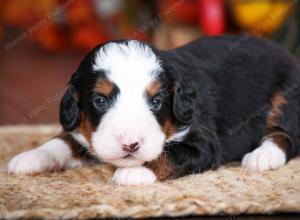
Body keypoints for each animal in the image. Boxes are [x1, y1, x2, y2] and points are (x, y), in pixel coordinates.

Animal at [7, 36, 300, 186]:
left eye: (157, 101)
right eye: (100, 101)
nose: (130, 145)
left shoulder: (204, 141)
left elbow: (169, 154)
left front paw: (135, 171)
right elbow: (64, 139)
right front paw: (32, 157)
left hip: (287, 95)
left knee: (287, 135)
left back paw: (262, 156)